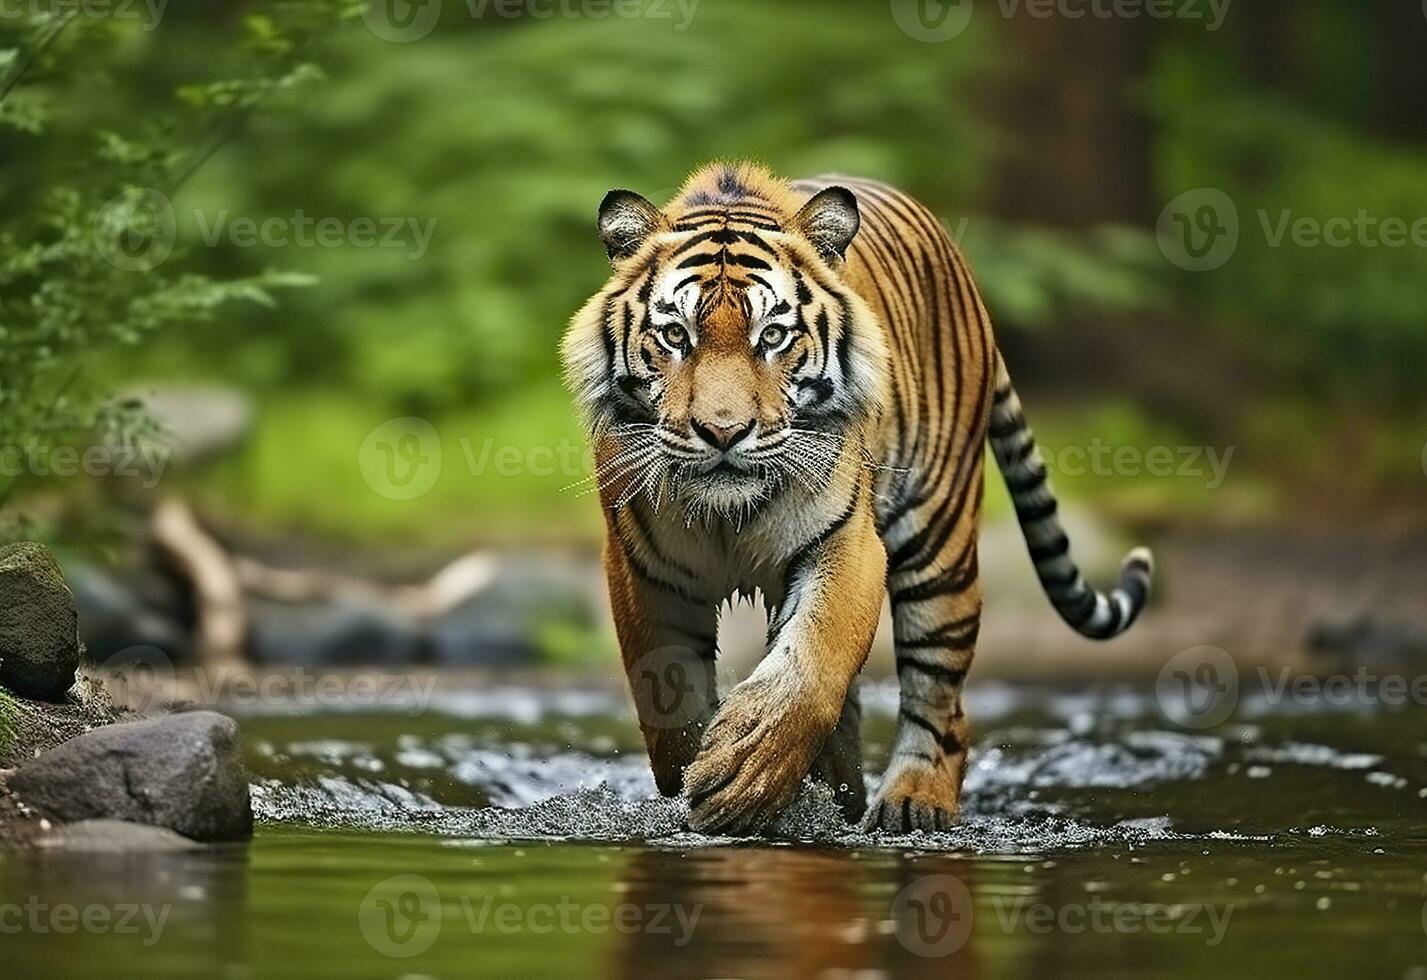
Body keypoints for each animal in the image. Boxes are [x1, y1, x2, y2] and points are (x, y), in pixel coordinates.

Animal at [562, 161, 1153, 833]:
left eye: (773, 336)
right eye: (674, 335)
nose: (723, 432)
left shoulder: (846, 542)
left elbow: (812, 661)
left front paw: (746, 771)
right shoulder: (644, 568)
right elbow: (668, 696)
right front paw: (696, 781)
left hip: (939, 549)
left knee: (941, 697)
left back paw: (913, 802)